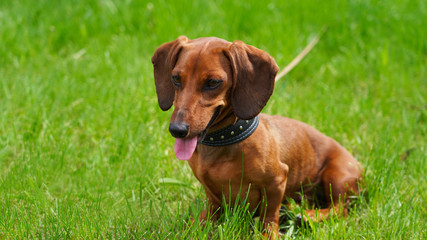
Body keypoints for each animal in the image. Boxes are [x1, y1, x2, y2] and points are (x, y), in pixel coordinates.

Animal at [152, 36, 362, 237]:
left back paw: (309, 216)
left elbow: (269, 215)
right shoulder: (212, 195)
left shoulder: (277, 180)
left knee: (341, 208)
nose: (177, 129)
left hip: (337, 175)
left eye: (212, 82)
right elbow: (206, 215)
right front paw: (191, 227)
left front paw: (268, 234)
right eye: (175, 78)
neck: (223, 142)